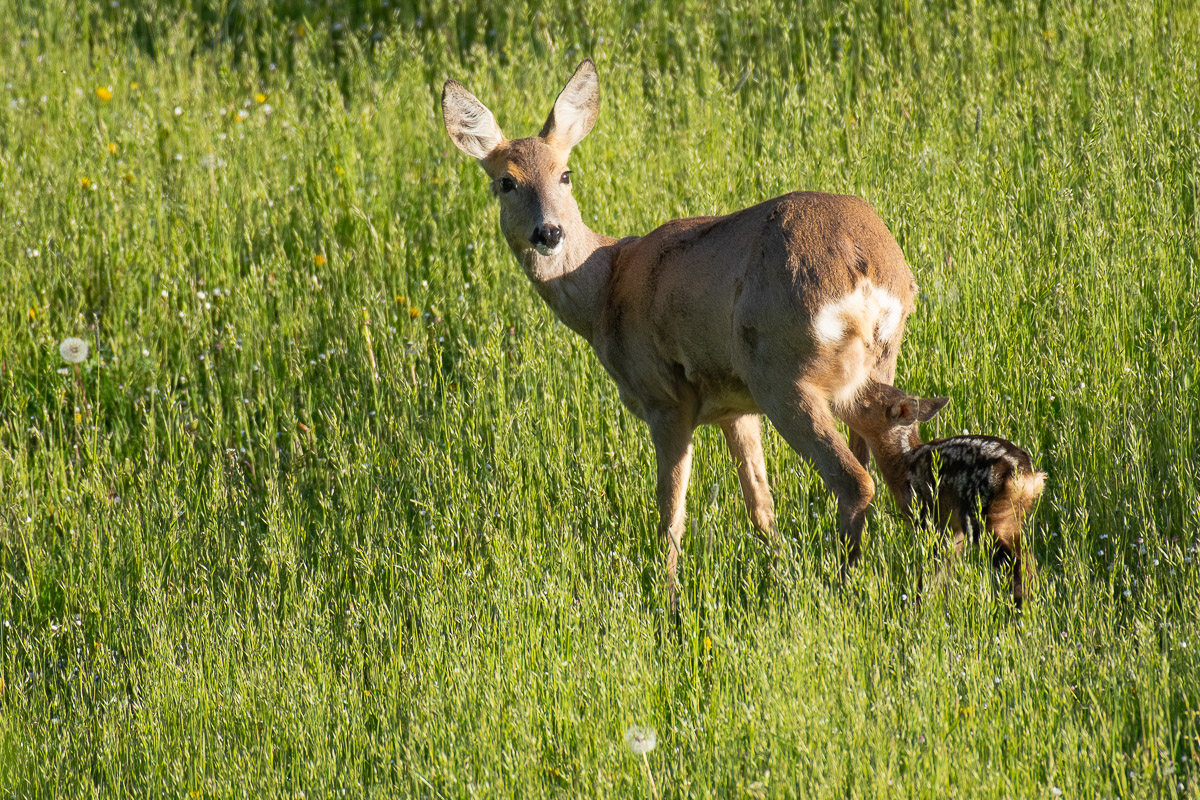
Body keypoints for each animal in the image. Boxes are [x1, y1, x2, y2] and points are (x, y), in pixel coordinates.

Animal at [441, 59, 916, 604]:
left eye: (565, 173)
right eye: (506, 182)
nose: (549, 232)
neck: (605, 288)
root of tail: (867, 269)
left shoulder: (665, 398)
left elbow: (671, 513)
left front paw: (665, 600)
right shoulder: (733, 405)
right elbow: (760, 504)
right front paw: (778, 568)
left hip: (780, 371)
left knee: (854, 480)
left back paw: (841, 583)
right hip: (871, 362)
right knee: (894, 466)